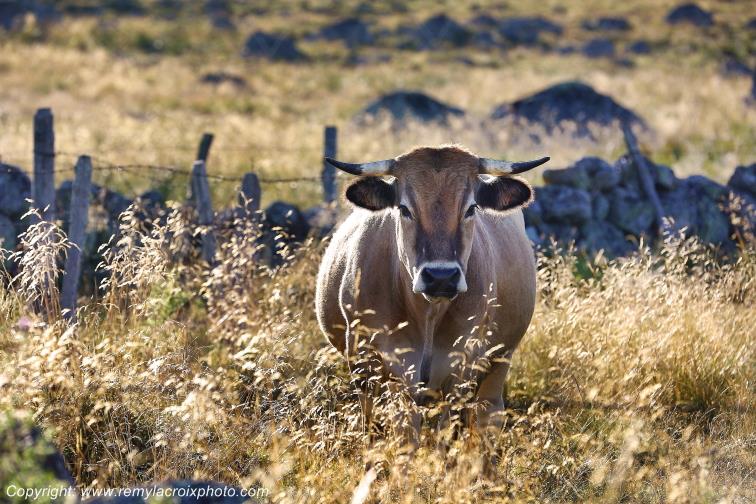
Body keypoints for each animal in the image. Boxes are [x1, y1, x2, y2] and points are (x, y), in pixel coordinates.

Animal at [315, 145, 548, 435]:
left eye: (471, 208)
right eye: (404, 208)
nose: (441, 277)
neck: (428, 315)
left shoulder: (462, 368)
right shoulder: (369, 364)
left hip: (500, 361)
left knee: (489, 413)